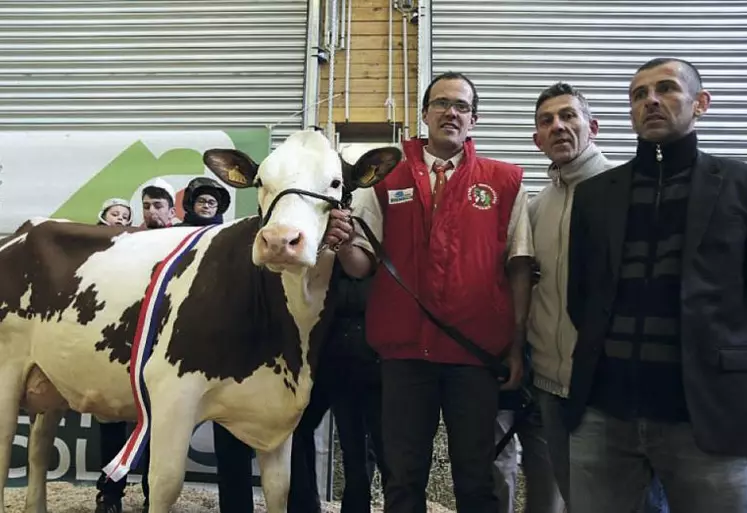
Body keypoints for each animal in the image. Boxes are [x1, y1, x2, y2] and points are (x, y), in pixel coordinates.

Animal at [0, 129, 404, 512]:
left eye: (336, 183)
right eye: (260, 181)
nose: (279, 240)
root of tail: (26, 229)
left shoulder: (276, 410)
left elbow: (279, 489)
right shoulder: (170, 393)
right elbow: (164, 484)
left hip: (48, 379)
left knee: (38, 449)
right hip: (7, 373)